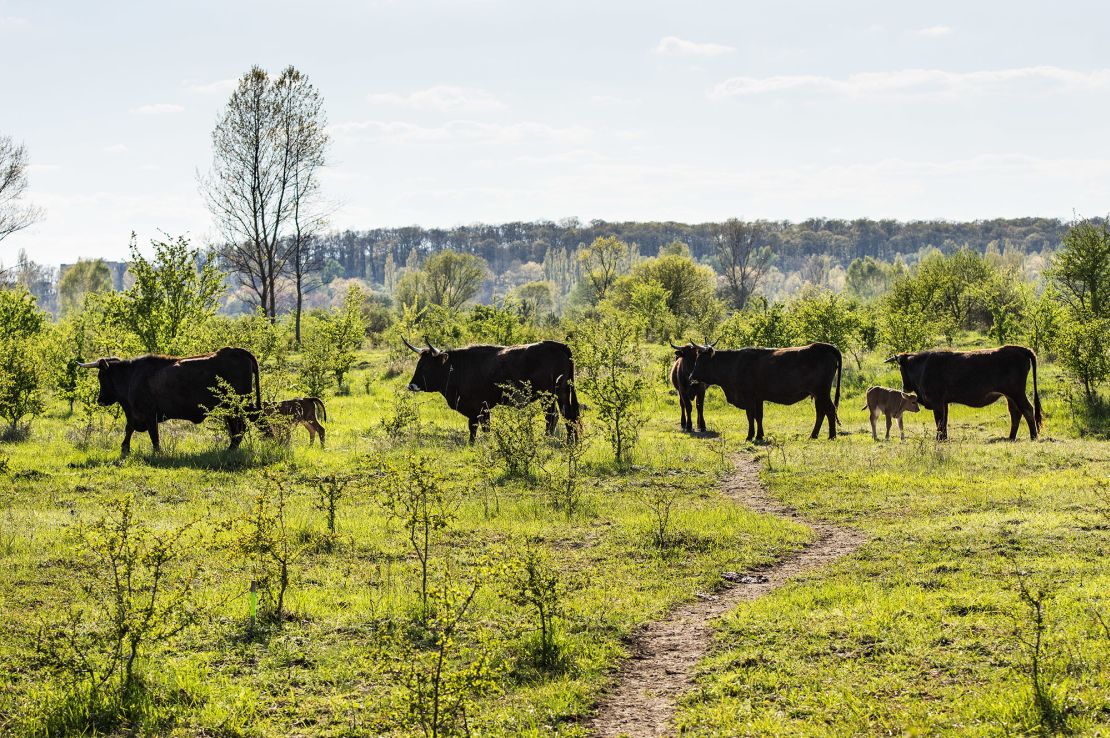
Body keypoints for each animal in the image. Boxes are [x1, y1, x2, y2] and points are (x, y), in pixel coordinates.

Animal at [77, 346, 263, 455]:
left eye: (101, 377)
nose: (101, 400)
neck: (131, 376)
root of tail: (238, 351)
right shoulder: (136, 414)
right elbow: (129, 428)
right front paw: (125, 449)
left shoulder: (148, 413)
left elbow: (153, 435)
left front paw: (156, 453)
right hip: (229, 407)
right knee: (237, 426)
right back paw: (231, 448)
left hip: (239, 404)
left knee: (242, 424)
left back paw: (232, 448)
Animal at [406, 335, 581, 443]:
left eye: (426, 366)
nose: (411, 385)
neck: (458, 367)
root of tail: (558, 345)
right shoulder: (477, 408)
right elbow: (476, 426)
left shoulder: (480, 406)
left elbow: (480, 426)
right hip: (560, 393)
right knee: (565, 415)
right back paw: (569, 441)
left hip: (551, 394)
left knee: (555, 416)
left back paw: (553, 440)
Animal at [683, 341, 839, 439]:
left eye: (700, 360)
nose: (691, 376)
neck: (734, 363)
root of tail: (825, 346)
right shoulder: (758, 397)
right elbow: (758, 416)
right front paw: (759, 435)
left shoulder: (748, 396)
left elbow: (750, 415)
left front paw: (750, 436)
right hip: (818, 394)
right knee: (821, 412)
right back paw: (813, 435)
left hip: (822, 392)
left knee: (830, 410)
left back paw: (832, 436)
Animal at [883, 344, 1038, 439]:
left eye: (901, 368)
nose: (905, 387)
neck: (923, 366)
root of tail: (1020, 349)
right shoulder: (943, 403)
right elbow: (944, 421)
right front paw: (943, 438)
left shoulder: (936, 402)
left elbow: (939, 421)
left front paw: (939, 438)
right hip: (1010, 396)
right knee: (1015, 413)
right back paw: (1011, 437)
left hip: (1017, 393)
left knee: (1027, 410)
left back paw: (1033, 436)